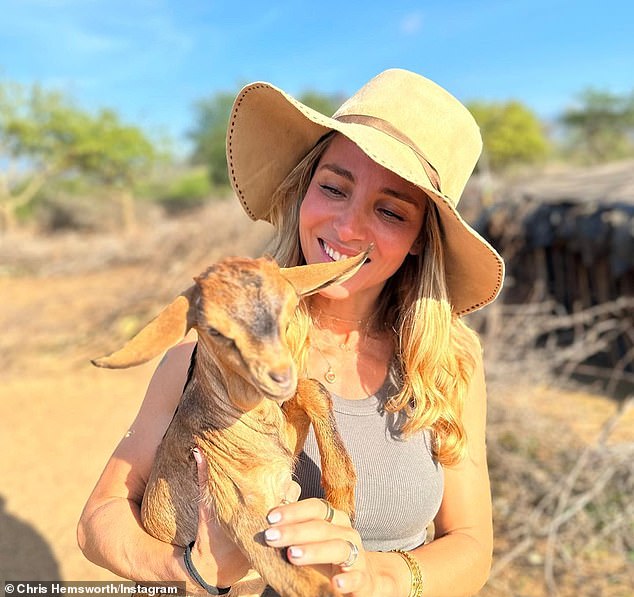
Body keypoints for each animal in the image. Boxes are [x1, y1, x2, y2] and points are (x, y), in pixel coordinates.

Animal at [90, 254, 366, 596]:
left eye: (290, 307)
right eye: (215, 330)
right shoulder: (239, 507)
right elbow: (306, 583)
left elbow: (313, 388)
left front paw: (342, 502)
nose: (278, 375)